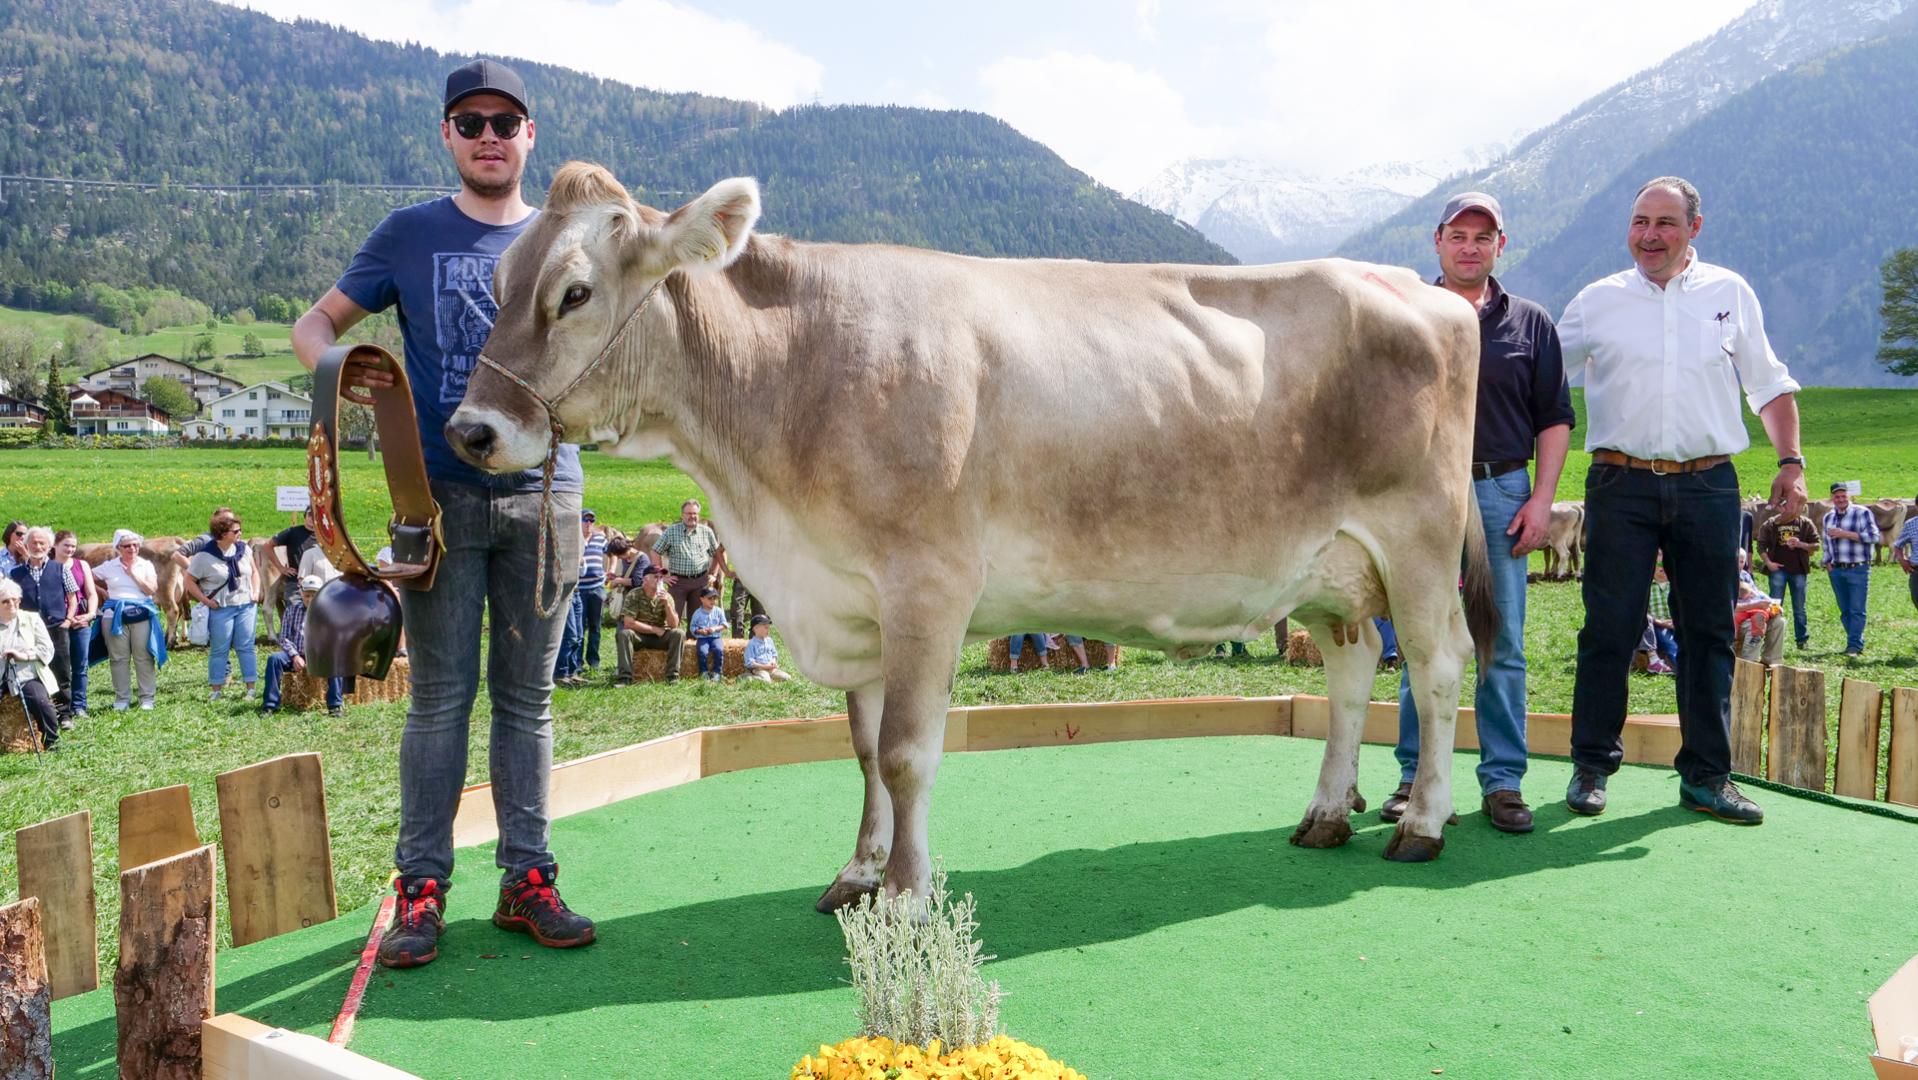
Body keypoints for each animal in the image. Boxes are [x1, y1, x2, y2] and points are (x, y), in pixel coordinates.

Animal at [445, 163, 1495, 907]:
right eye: (498, 277)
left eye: (575, 292)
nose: (471, 431)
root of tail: (1430, 291)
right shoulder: (854, 600)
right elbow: (864, 750)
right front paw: (858, 876)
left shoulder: (927, 584)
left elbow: (909, 752)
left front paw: (908, 897)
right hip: (1329, 568)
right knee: (1351, 669)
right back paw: (1324, 813)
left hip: (1416, 539)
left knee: (1437, 667)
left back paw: (1425, 822)